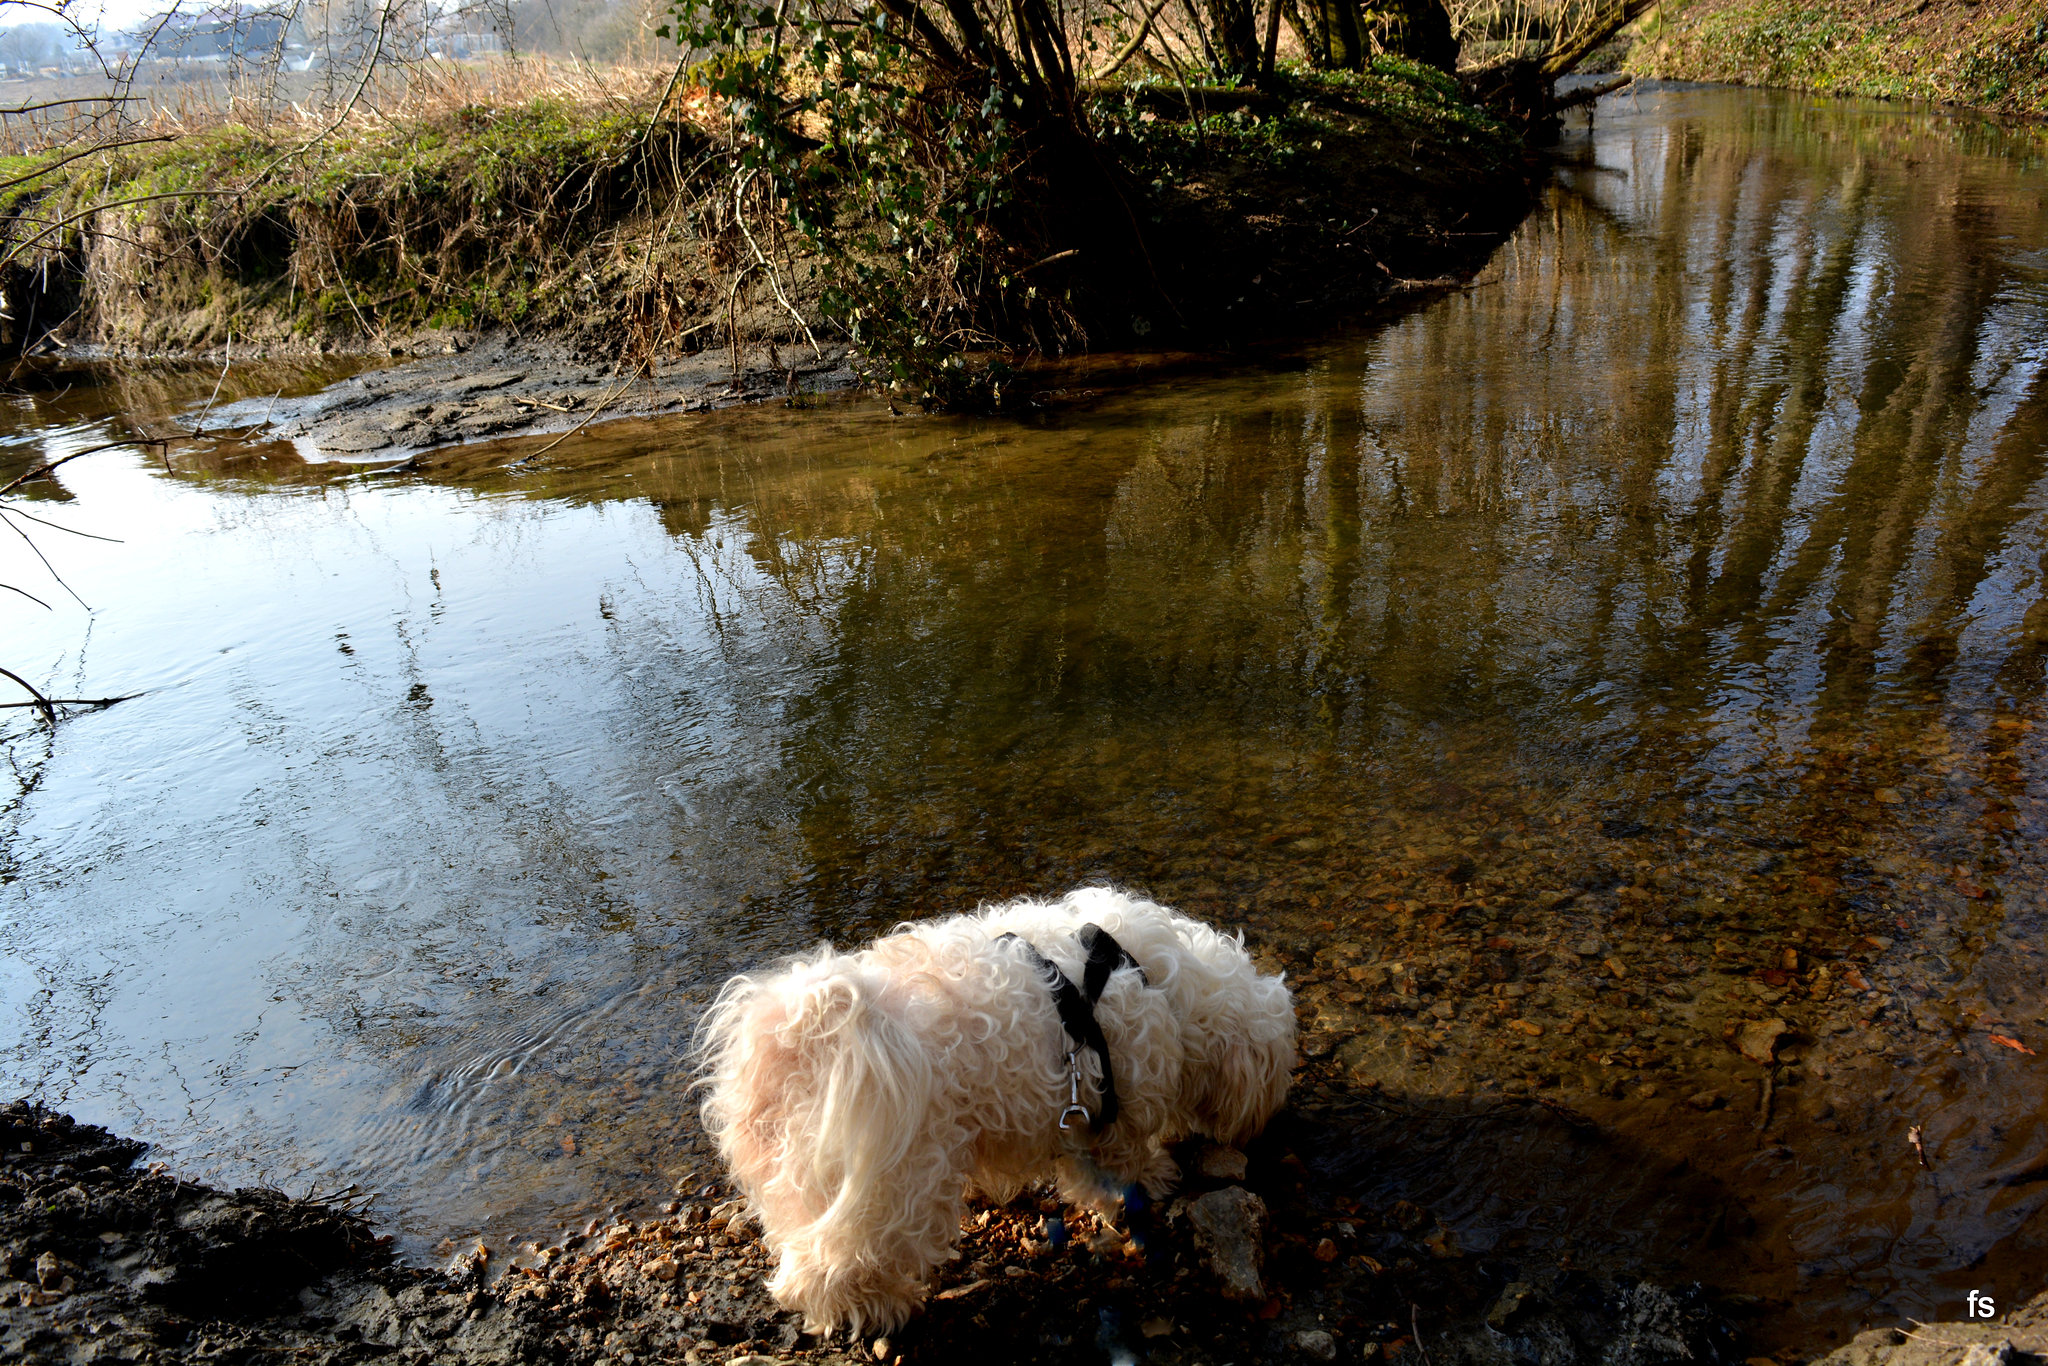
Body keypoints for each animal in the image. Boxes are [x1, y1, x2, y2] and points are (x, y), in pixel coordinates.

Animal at [696, 888, 1286, 1335]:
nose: (1268, 1128)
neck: (1164, 985)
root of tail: (795, 1034)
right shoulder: (1112, 1105)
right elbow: (1120, 1166)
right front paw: (1155, 1177)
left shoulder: (1075, 1106)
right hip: (895, 1185)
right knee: (828, 1265)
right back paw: (875, 1308)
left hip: (796, 1182)